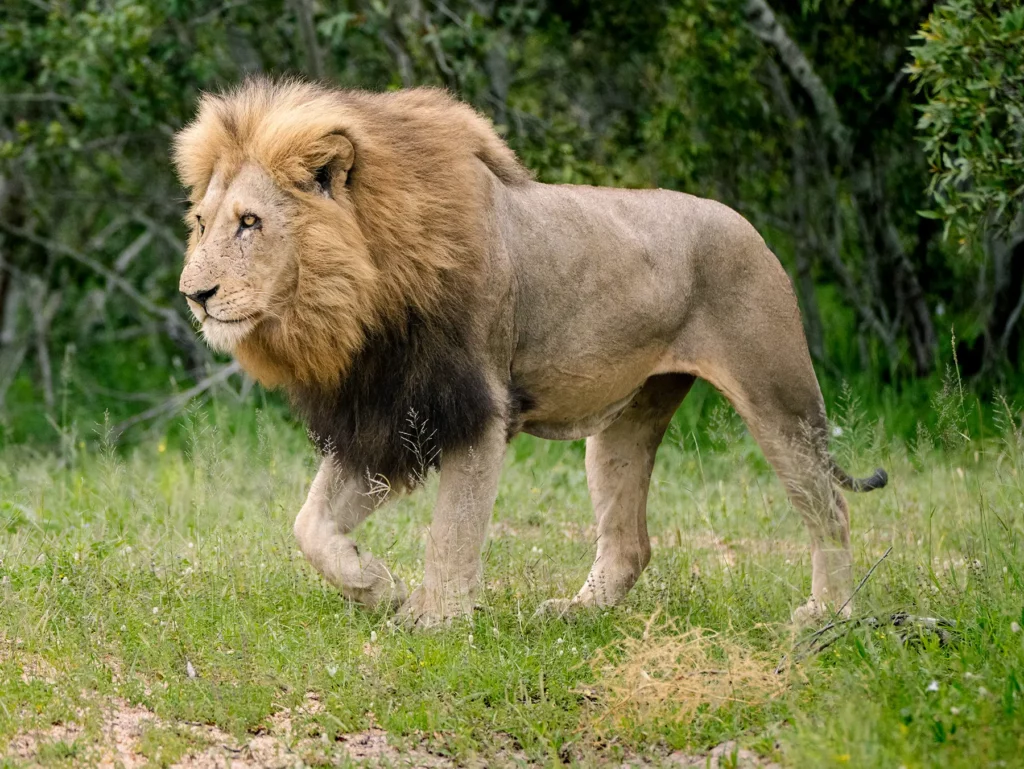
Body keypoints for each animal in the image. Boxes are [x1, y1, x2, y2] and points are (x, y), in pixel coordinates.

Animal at [173, 78, 887, 628]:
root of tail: (751, 229)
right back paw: (575, 615)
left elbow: (453, 530)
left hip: (777, 396)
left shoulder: (475, 411)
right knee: (630, 541)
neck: (365, 301)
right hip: (625, 423)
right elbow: (310, 526)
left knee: (833, 508)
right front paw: (378, 586)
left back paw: (828, 615)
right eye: (203, 223)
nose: (194, 295)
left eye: (250, 223)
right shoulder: (384, 415)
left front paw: (434, 619)